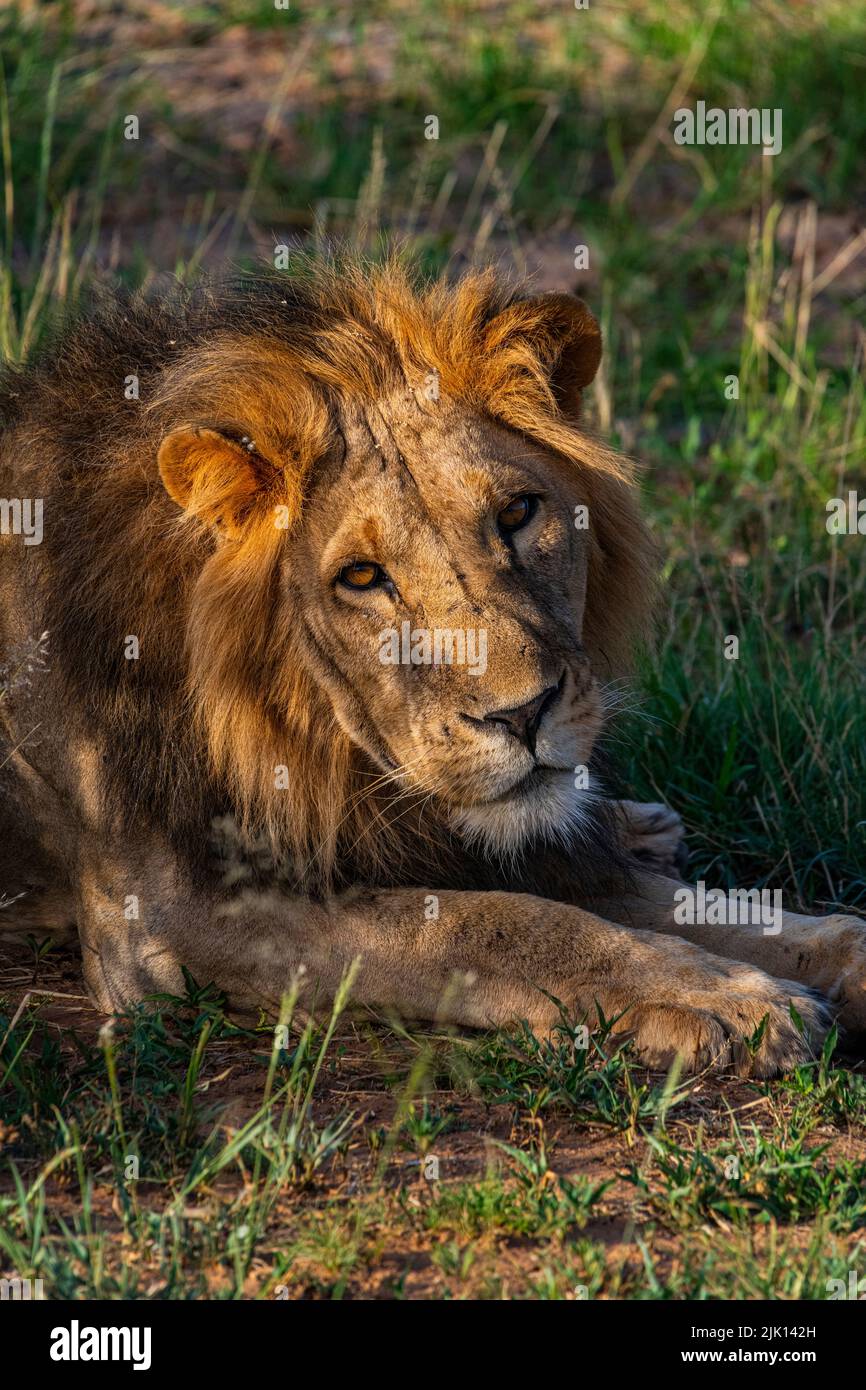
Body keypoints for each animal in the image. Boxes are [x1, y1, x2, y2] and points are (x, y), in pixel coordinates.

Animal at [0, 258, 861, 1073]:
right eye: (360, 577)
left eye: (517, 513)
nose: (524, 714)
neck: (314, 745)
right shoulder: (172, 919)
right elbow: (497, 925)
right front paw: (726, 1000)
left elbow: (698, 908)